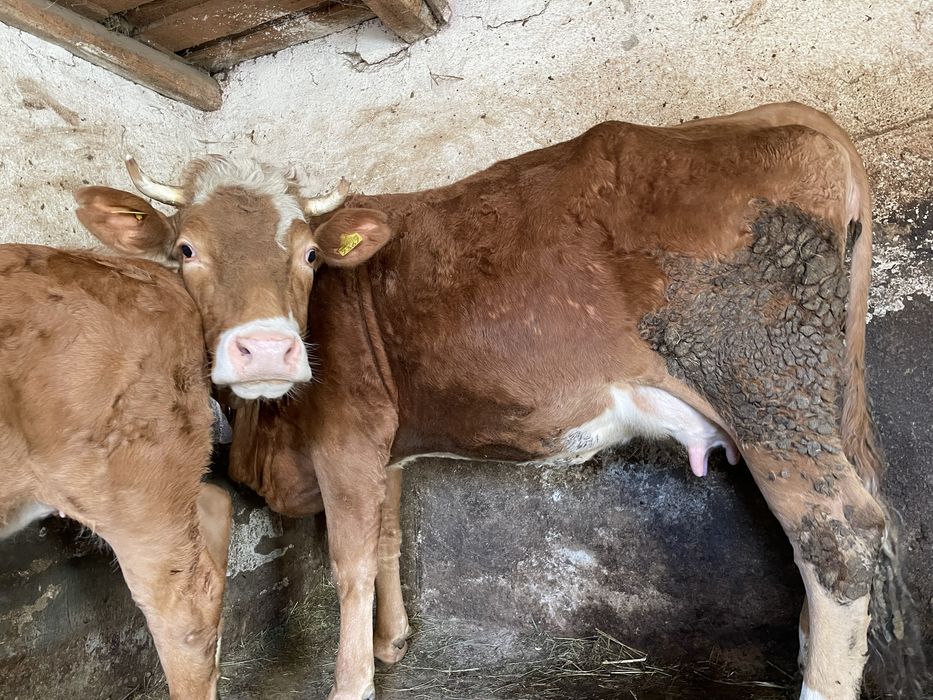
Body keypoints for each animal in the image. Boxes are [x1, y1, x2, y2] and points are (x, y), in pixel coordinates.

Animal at [219, 102, 925, 700]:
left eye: (308, 255)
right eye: (198, 254)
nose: (264, 346)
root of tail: (795, 115)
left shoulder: (347, 432)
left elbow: (352, 561)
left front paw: (354, 679)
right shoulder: (387, 447)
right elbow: (387, 537)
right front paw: (392, 642)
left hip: (766, 387)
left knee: (839, 538)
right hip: (820, 400)